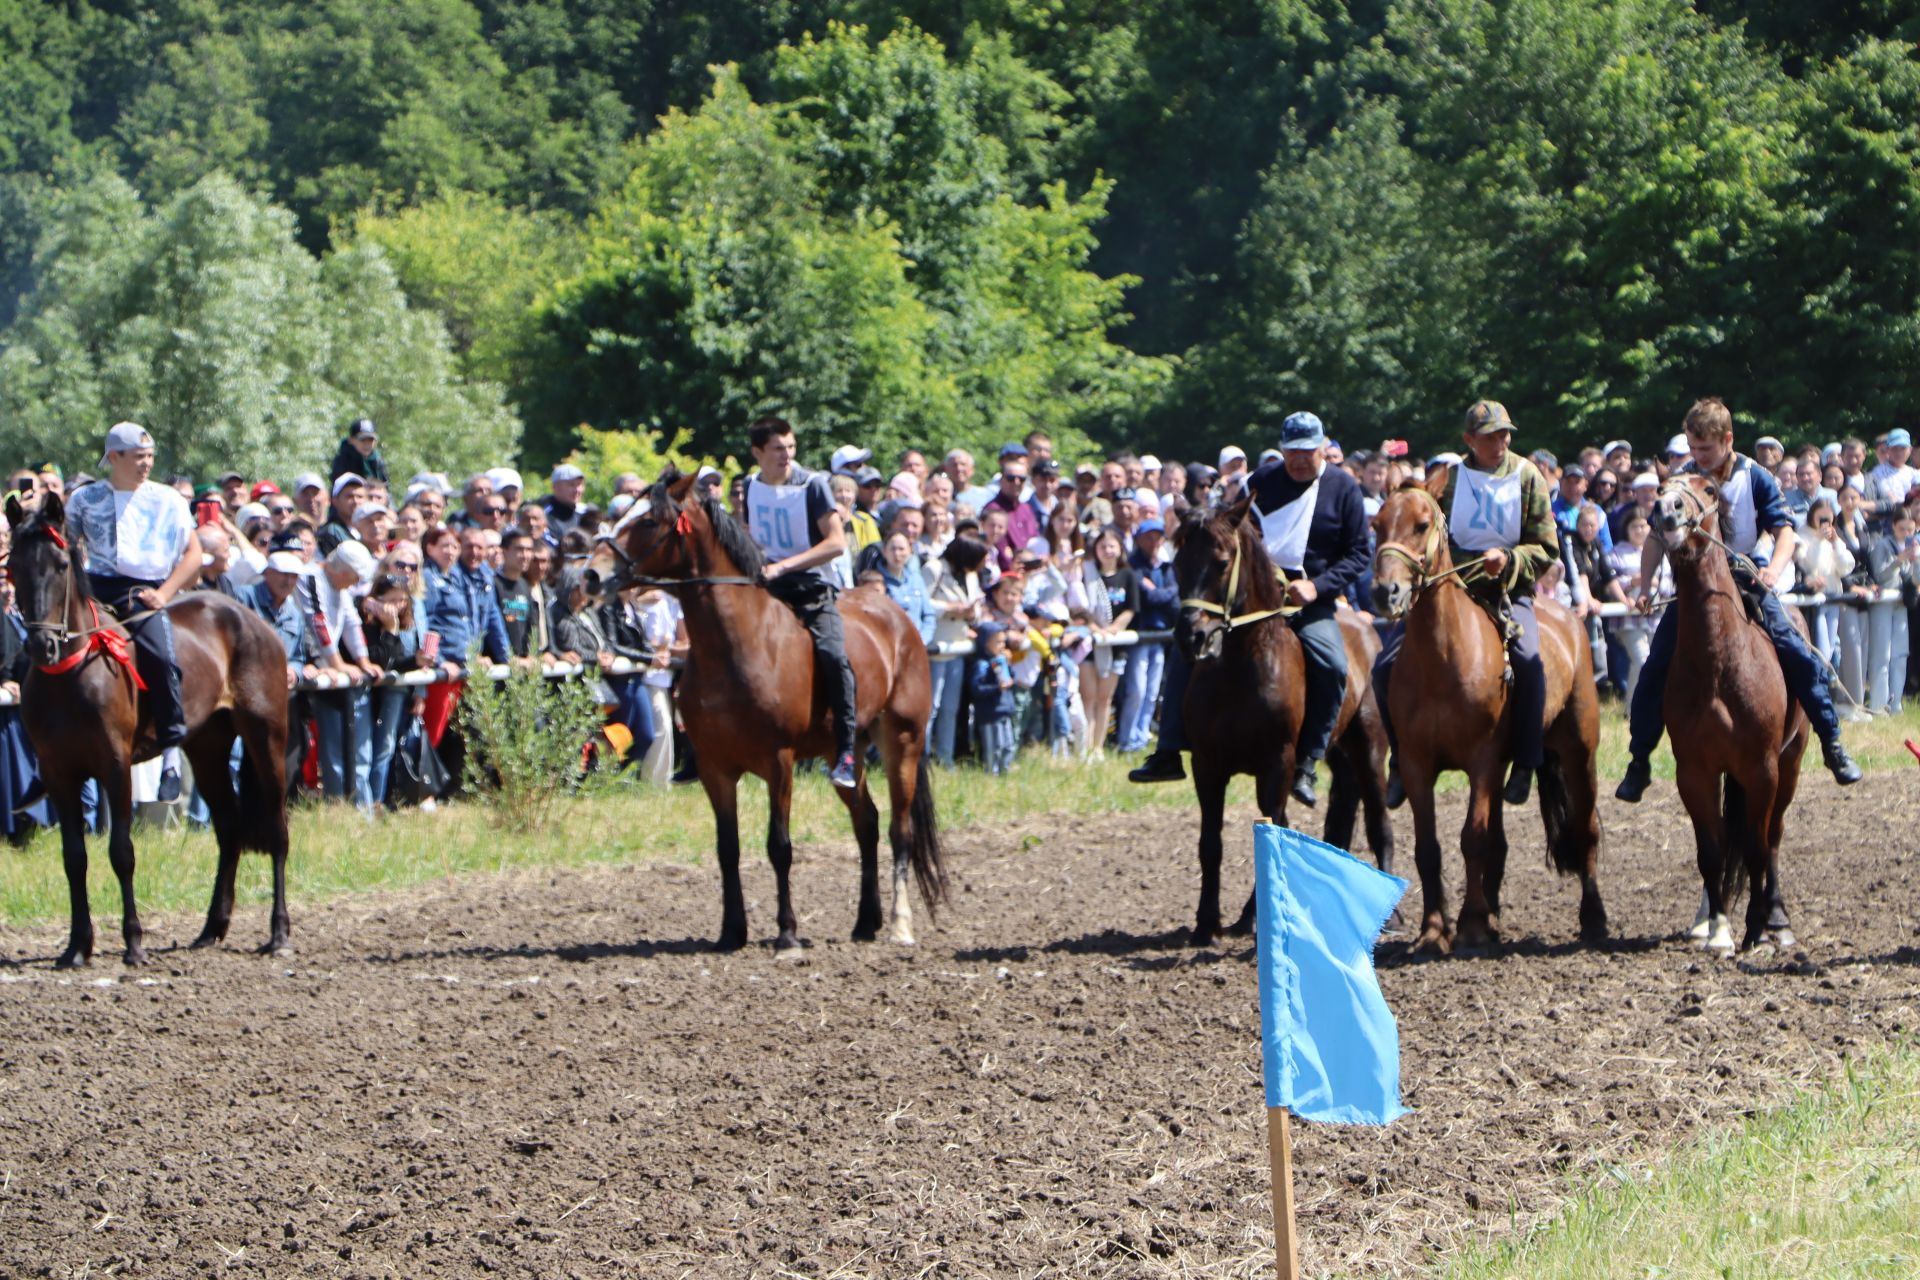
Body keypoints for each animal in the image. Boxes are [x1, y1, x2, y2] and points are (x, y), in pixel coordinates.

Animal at [6, 495, 291, 967]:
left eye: (61, 564)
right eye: (12, 565)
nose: (40, 645)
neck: (72, 673)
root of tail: (251, 619)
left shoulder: (115, 766)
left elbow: (121, 853)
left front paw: (134, 943)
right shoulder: (58, 773)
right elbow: (74, 857)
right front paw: (76, 946)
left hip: (266, 737)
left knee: (277, 830)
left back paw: (278, 932)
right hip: (207, 748)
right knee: (229, 828)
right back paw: (211, 928)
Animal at [583, 470, 944, 951]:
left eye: (646, 522)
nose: (590, 574)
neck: (737, 644)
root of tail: (900, 619)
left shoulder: (779, 762)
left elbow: (780, 846)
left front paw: (787, 933)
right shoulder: (716, 768)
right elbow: (728, 848)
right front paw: (731, 932)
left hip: (902, 741)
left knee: (899, 830)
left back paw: (900, 925)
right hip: (843, 752)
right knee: (866, 822)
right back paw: (865, 923)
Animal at [1167, 498, 1397, 951]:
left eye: (1222, 562)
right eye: (1177, 563)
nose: (1191, 637)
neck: (1241, 667)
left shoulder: (1277, 763)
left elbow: (1272, 831)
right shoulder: (1208, 767)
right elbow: (1211, 843)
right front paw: (1207, 924)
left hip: (1369, 751)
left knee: (1378, 821)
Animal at [1367, 477, 1605, 951]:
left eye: (1422, 524)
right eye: (1377, 524)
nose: (1386, 593)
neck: (1443, 658)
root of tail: (1571, 620)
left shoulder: (1481, 761)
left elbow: (1472, 838)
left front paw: (1472, 926)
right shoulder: (1418, 765)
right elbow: (1429, 847)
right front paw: (1434, 930)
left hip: (1579, 752)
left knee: (1585, 831)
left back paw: (1593, 919)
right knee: (1499, 842)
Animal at [1651, 475, 1812, 955]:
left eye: (1707, 489)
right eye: (1660, 487)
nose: (1666, 509)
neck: (1719, 663)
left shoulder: (1761, 768)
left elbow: (1758, 849)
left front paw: (1756, 928)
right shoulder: (1695, 771)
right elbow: (1711, 850)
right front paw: (1720, 929)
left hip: (1790, 762)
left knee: (1772, 838)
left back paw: (1777, 920)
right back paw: (1706, 921)